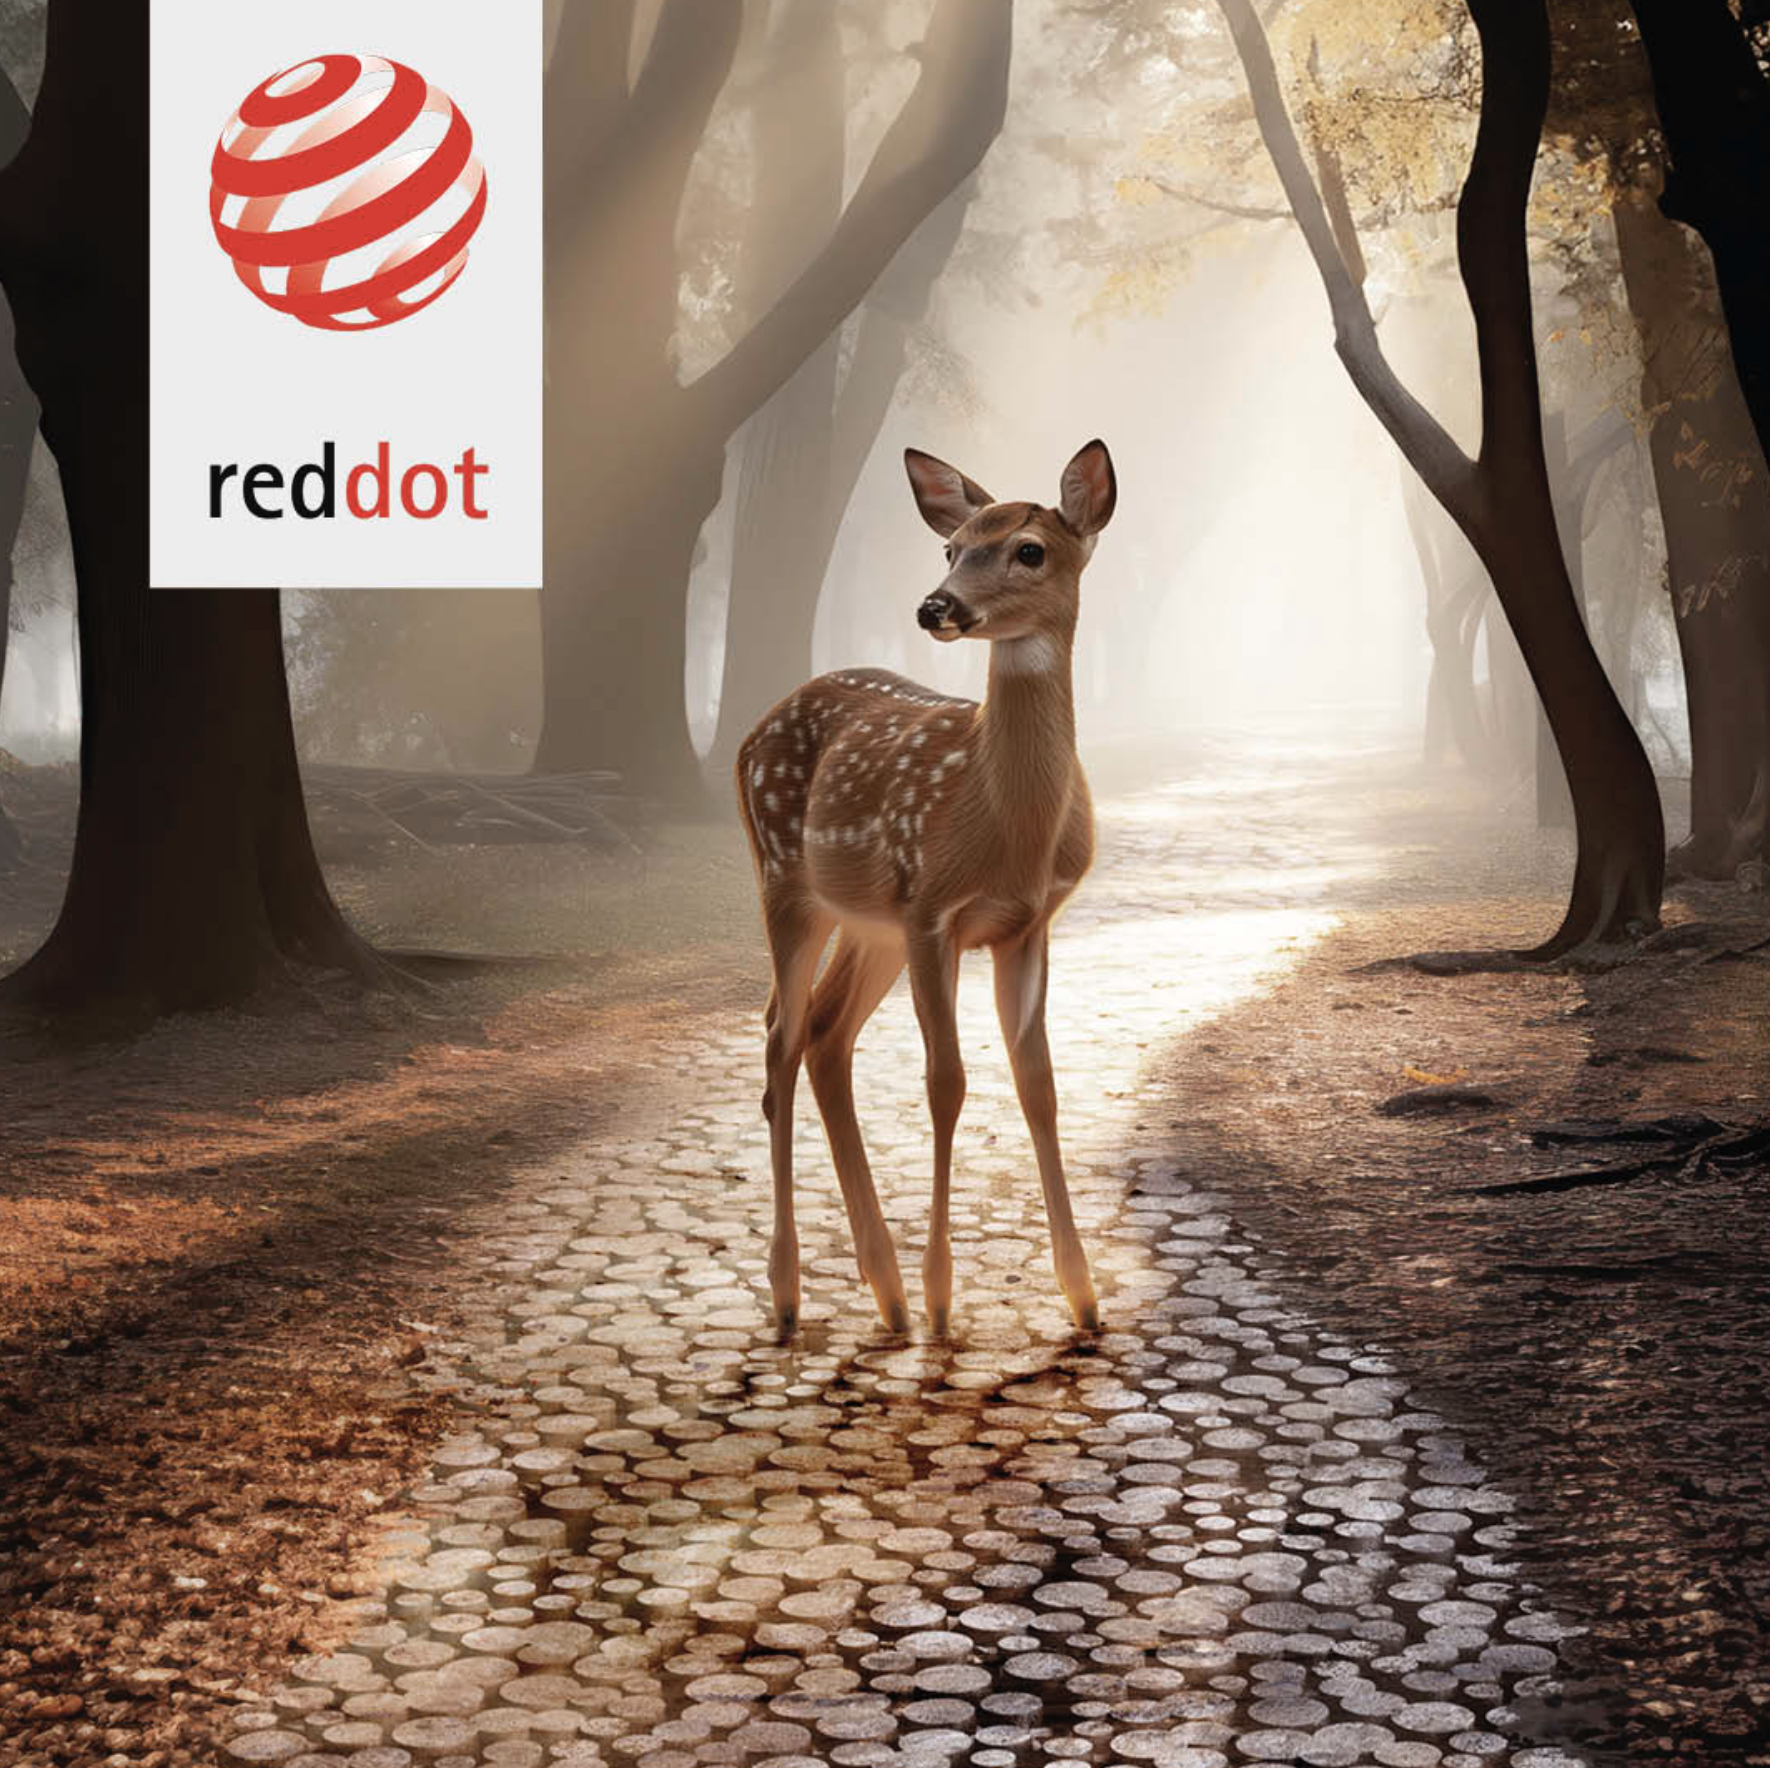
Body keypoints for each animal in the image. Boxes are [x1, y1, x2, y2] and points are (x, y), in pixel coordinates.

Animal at [734, 439, 1117, 1341]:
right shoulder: (931, 911)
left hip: (867, 924)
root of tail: (747, 736)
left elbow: (1038, 1083)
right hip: (786, 878)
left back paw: (887, 1294)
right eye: (951, 547)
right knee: (779, 1037)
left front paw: (1083, 1298)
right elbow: (946, 1083)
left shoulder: (1026, 924)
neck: (1003, 827)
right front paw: (947, 1302)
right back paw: (792, 1293)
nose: (935, 605)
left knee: (824, 1036)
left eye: (1029, 550)